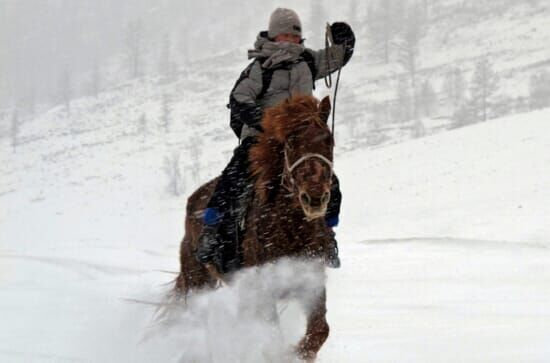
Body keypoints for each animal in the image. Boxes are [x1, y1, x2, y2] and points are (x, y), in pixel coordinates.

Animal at [178, 95, 336, 362]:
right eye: (291, 142)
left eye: (329, 139)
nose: (314, 198)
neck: (291, 229)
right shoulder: (263, 290)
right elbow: (272, 339)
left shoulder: (310, 282)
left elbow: (318, 331)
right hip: (197, 280)